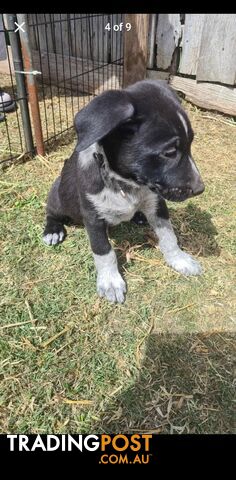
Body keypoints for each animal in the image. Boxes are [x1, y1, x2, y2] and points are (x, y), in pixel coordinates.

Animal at [42, 80, 205, 302]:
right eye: (170, 152)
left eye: (191, 144)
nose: (200, 189)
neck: (124, 183)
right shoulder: (92, 217)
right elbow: (104, 252)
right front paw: (110, 281)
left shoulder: (157, 203)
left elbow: (169, 236)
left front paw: (179, 259)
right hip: (58, 196)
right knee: (50, 212)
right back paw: (53, 230)